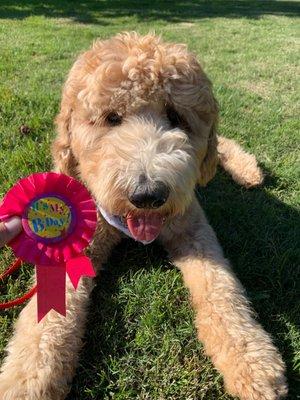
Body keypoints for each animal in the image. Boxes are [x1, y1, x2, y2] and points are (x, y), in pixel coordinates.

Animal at [0, 32, 288, 398]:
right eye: (111, 117)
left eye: (176, 117)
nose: (148, 195)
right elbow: (50, 311)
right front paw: (28, 378)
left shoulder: (194, 230)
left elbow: (222, 290)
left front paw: (253, 361)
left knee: (220, 144)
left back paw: (247, 170)